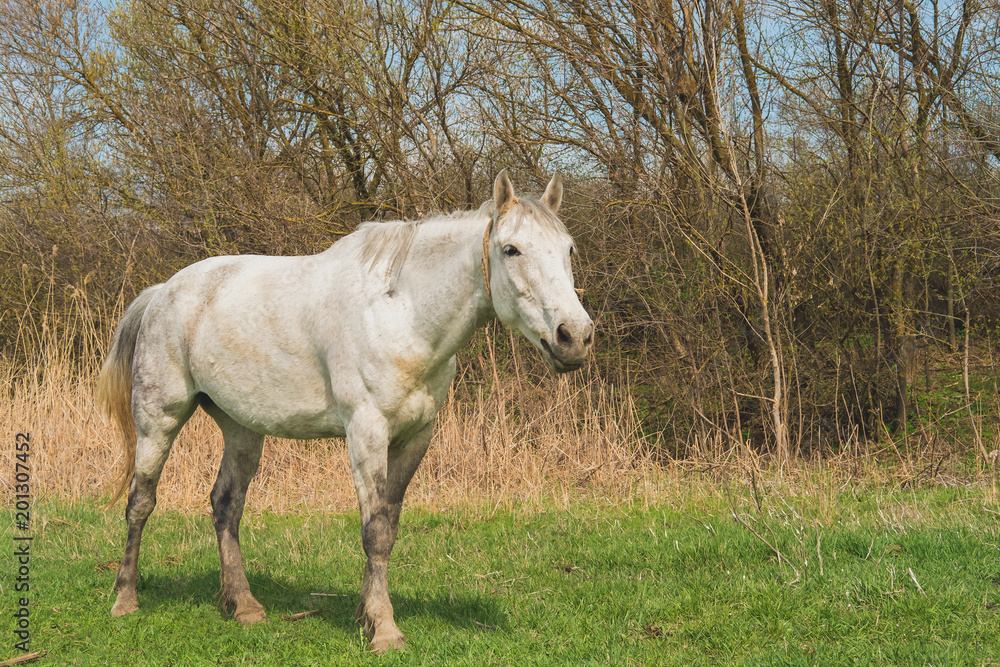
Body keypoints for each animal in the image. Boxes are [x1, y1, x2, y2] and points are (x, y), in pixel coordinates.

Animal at [96, 170, 594, 652]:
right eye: (511, 249)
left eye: (568, 249)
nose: (575, 336)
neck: (401, 313)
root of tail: (163, 291)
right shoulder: (367, 431)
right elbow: (374, 530)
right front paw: (385, 631)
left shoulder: (415, 436)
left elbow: (388, 526)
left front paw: (367, 615)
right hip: (159, 419)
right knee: (141, 503)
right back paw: (125, 600)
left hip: (241, 428)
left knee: (226, 506)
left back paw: (244, 606)